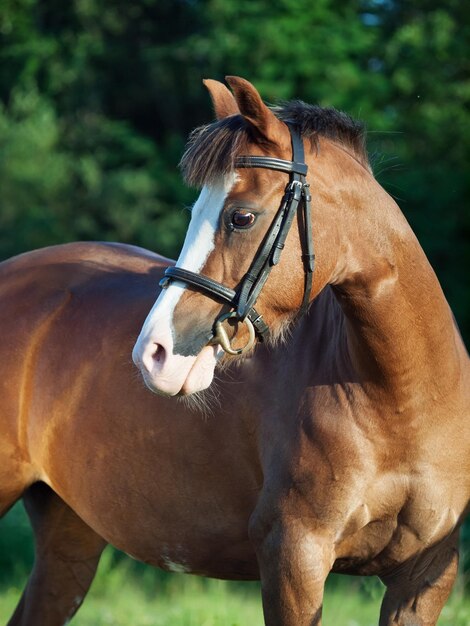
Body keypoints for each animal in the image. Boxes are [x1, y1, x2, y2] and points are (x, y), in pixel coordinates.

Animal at [0, 74, 466, 624]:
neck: (401, 398)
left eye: (241, 217)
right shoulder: (293, 560)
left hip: (68, 536)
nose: (153, 353)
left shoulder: (424, 577)